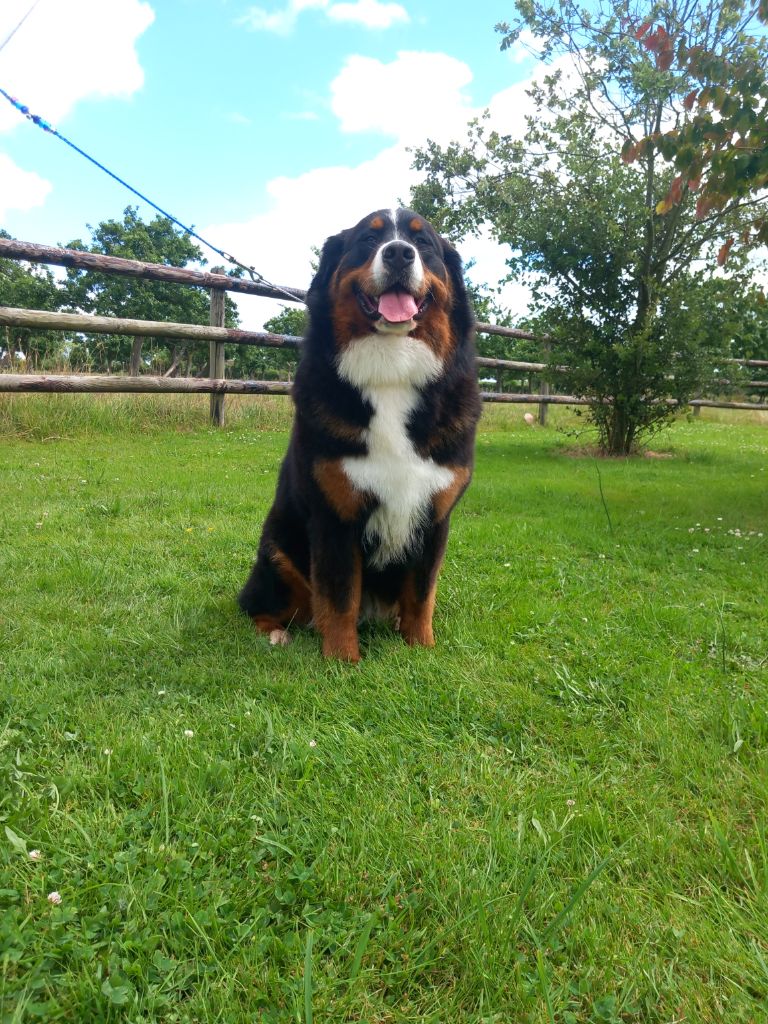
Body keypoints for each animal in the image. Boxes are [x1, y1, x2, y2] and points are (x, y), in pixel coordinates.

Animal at [240, 205, 481, 663]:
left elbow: (422, 595)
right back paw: (276, 634)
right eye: (368, 240)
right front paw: (341, 661)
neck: (391, 373)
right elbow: (338, 599)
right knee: (255, 605)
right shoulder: (335, 514)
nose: (399, 253)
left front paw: (421, 648)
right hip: (279, 552)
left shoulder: (435, 516)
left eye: (423, 242)